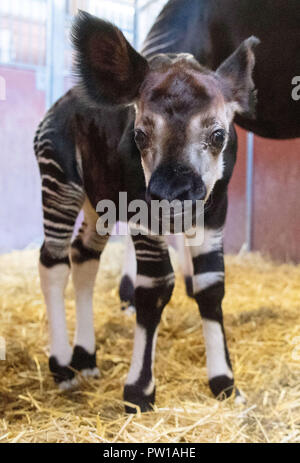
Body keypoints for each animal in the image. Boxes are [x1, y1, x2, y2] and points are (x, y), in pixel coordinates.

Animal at [35, 10, 258, 412]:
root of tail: (58, 105)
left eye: (218, 135)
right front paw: (139, 392)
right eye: (139, 134)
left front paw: (224, 383)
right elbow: (155, 287)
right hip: (60, 181)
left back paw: (85, 358)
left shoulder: (214, 215)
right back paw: (62, 367)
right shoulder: (144, 217)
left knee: (83, 256)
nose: (172, 196)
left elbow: (211, 286)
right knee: (53, 261)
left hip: (99, 202)